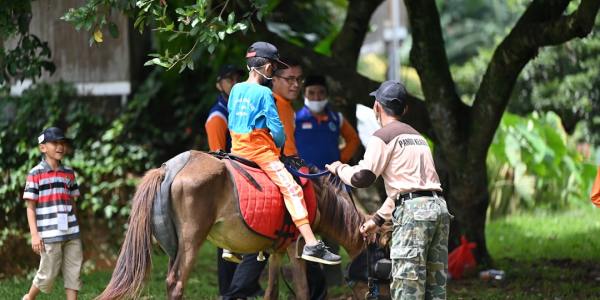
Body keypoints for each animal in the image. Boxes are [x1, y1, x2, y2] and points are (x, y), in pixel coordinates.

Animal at [96, 151, 368, 298]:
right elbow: (302, 291)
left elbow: (271, 291)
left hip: (173, 246)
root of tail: (168, 168)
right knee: (176, 284)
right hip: (191, 242)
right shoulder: (296, 247)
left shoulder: (277, 251)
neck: (317, 198)